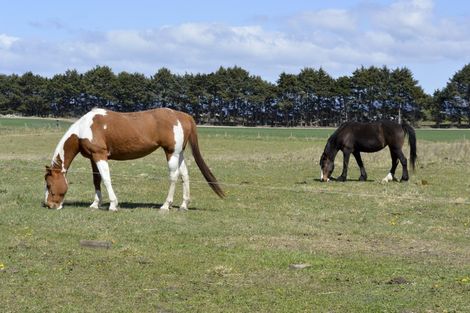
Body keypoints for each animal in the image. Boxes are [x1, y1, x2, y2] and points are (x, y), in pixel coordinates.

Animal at [44, 106, 226, 210]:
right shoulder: (93, 158)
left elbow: (106, 179)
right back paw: (183, 205)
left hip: (171, 153)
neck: (84, 127)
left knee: (174, 177)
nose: (50, 205)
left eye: (49, 184)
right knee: (185, 175)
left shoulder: (100, 155)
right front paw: (95, 204)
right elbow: (97, 180)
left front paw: (113, 204)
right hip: (179, 153)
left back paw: (165, 205)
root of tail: (183, 116)